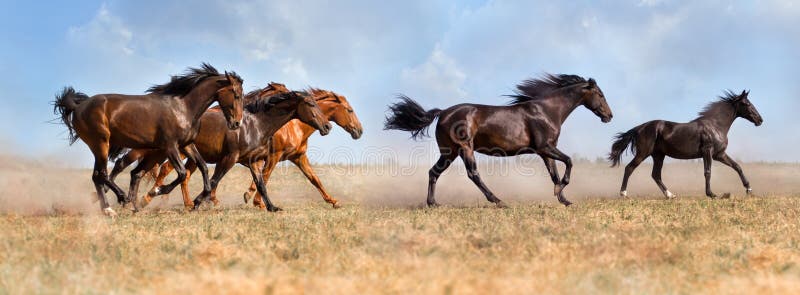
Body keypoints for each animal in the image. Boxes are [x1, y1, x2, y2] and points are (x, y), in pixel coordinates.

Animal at [52, 64, 244, 217]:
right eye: (236, 94)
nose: (236, 123)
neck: (183, 107)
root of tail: (78, 106)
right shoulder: (170, 146)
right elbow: (182, 173)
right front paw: (158, 190)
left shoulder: (186, 145)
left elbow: (203, 167)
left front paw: (197, 202)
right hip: (101, 144)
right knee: (103, 174)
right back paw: (119, 201)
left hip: (101, 146)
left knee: (99, 176)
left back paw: (114, 207)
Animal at [384, 74, 616, 208]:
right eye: (600, 94)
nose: (609, 116)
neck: (547, 111)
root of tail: (442, 113)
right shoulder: (545, 147)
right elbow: (569, 162)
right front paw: (561, 192)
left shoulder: (545, 151)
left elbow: (555, 174)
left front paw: (563, 199)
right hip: (464, 148)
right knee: (473, 174)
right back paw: (499, 201)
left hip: (449, 152)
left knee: (434, 172)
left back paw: (433, 204)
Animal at [608, 90, 764, 200]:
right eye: (747, 104)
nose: (760, 120)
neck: (715, 125)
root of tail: (639, 128)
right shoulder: (708, 152)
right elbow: (708, 172)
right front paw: (711, 194)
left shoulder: (719, 154)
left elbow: (737, 166)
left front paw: (749, 190)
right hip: (643, 153)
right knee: (629, 168)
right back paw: (623, 194)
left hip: (658, 155)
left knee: (656, 175)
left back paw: (670, 195)